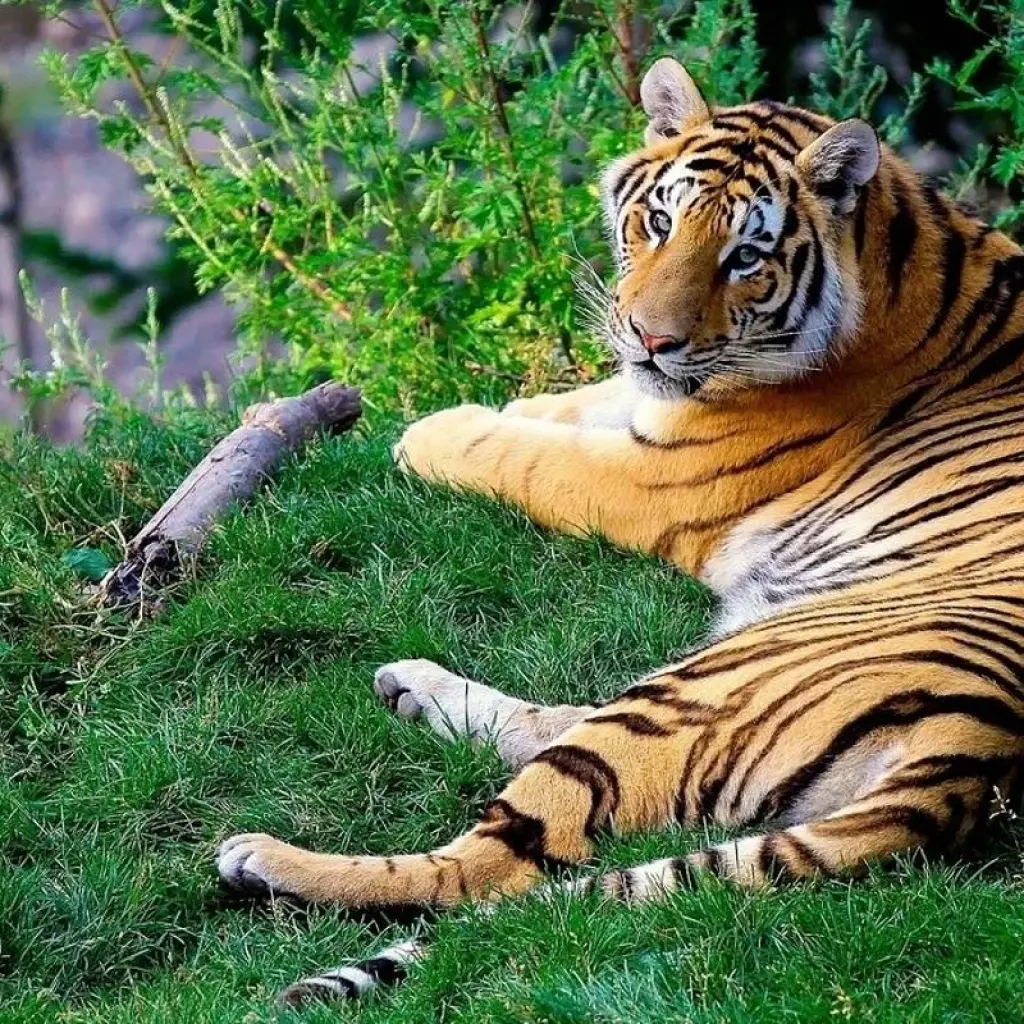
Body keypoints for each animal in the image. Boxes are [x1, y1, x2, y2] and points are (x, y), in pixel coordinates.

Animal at [217, 57, 1024, 1007]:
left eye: (744, 257)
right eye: (661, 221)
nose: (650, 336)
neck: (897, 256)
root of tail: (977, 752)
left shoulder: (653, 478)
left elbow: (526, 455)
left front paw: (430, 432)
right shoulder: (646, 407)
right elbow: (571, 406)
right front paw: (511, 405)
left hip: (705, 685)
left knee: (490, 869)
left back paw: (264, 858)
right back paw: (408, 684)